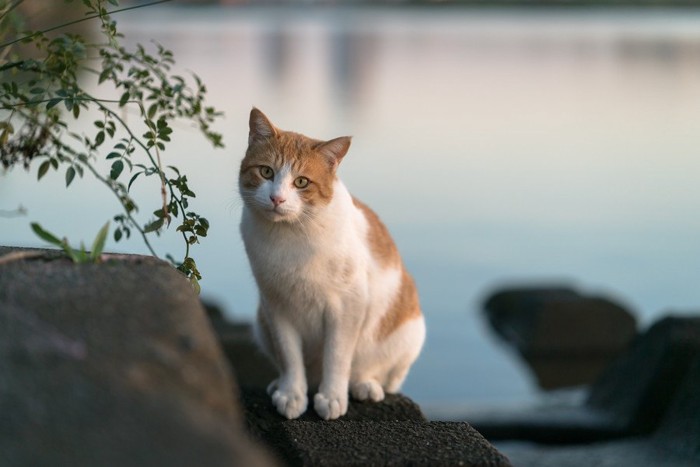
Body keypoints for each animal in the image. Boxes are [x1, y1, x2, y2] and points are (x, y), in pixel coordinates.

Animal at [238, 108, 424, 422]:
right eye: (266, 172)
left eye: (301, 182)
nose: (277, 198)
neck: (290, 235)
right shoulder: (276, 306)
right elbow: (289, 356)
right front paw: (292, 393)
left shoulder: (347, 306)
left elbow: (337, 355)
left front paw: (332, 396)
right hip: (261, 324)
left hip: (409, 333)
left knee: (376, 372)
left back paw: (364, 385)